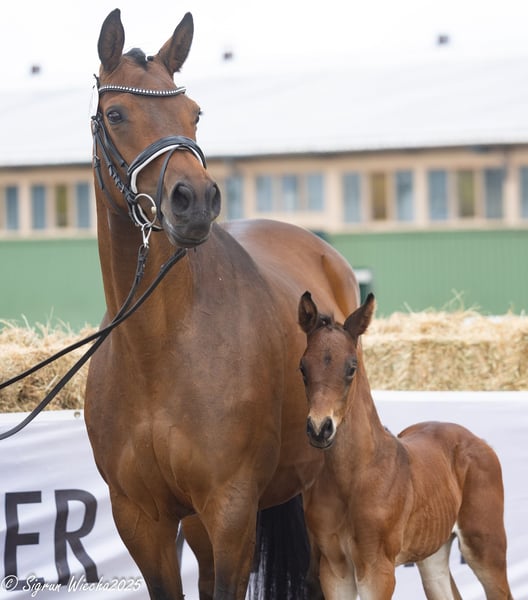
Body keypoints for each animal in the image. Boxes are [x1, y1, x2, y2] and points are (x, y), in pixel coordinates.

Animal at [84, 9, 360, 600]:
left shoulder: (232, 510)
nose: (195, 201)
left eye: (194, 113)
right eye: (116, 114)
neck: (159, 349)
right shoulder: (143, 519)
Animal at [297, 291, 513, 600]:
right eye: (303, 367)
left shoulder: (378, 569)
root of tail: (479, 441)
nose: (319, 428)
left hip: (486, 544)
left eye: (351, 367)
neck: (353, 477)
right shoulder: (334, 568)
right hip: (433, 553)